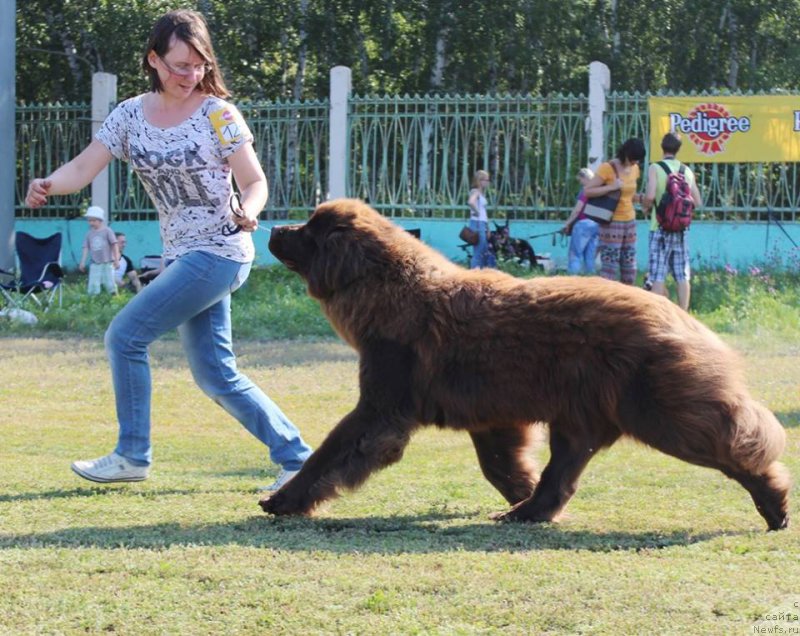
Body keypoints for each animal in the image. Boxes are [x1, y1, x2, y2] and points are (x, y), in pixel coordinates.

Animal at [260, 200, 788, 532]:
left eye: (308, 230)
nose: (274, 228)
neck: (389, 288)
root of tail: (678, 314)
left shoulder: (383, 404)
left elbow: (332, 451)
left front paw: (283, 499)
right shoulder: (491, 414)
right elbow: (501, 465)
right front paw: (521, 494)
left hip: (659, 409)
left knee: (734, 443)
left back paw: (774, 502)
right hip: (581, 418)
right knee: (563, 473)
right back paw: (526, 512)